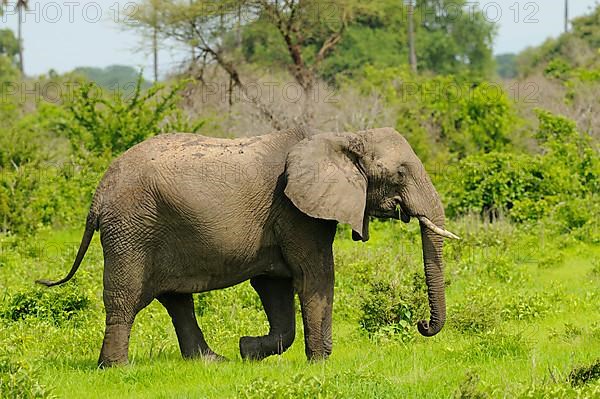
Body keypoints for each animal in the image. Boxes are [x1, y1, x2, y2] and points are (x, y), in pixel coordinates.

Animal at [37, 126, 460, 368]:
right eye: (400, 173)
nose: (422, 325)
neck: (339, 135)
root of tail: (98, 194)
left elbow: (275, 287)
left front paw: (248, 350)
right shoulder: (294, 209)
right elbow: (315, 276)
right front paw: (322, 364)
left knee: (176, 300)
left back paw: (214, 362)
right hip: (131, 229)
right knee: (125, 298)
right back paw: (116, 369)